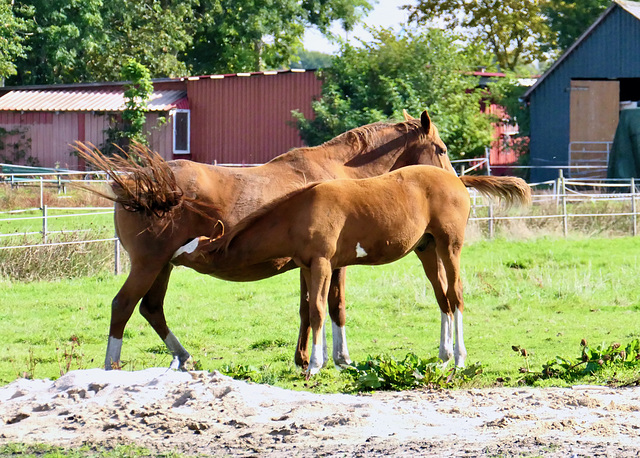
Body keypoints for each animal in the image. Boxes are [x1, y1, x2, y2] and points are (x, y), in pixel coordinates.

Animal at [79, 112, 460, 372]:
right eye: (441, 149)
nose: (454, 183)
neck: (342, 175)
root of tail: (137, 185)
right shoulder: (332, 264)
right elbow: (333, 306)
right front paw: (340, 358)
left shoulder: (311, 264)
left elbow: (308, 308)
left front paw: (306, 357)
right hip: (148, 265)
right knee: (123, 306)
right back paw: (112, 366)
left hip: (163, 266)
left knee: (151, 308)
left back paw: (183, 357)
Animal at [170, 166, 528, 374]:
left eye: (196, 250)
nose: (172, 255)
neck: (299, 212)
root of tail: (458, 179)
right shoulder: (309, 266)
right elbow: (318, 309)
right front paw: (330, 361)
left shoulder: (322, 263)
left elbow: (317, 310)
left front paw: (315, 365)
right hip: (426, 250)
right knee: (443, 299)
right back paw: (442, 357)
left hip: (449, 246)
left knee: (456, 296)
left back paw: (460, 358)